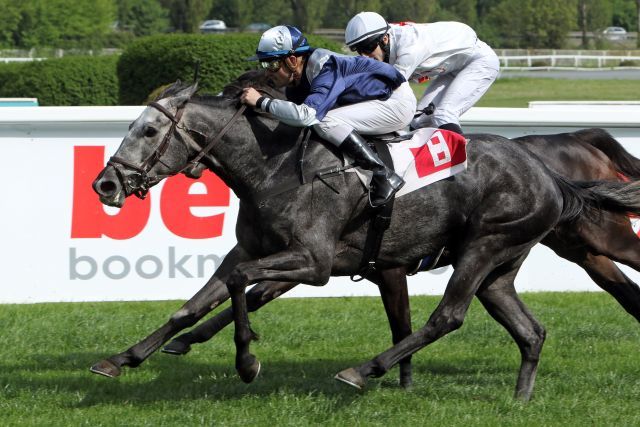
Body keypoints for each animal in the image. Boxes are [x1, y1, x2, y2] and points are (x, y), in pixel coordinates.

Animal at [90, 78, 640, 402]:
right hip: (502, 267)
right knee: (530, 330)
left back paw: (362, 369)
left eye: (149, 130)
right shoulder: (250, 249)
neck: (274, 167)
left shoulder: (313, 262)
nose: (105, 185)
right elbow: (196, 303)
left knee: (448, 316)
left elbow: (242, 286)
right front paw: (123, 358)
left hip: (493, 244)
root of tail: (550, 175)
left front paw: (246, 362)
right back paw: (520, 399)